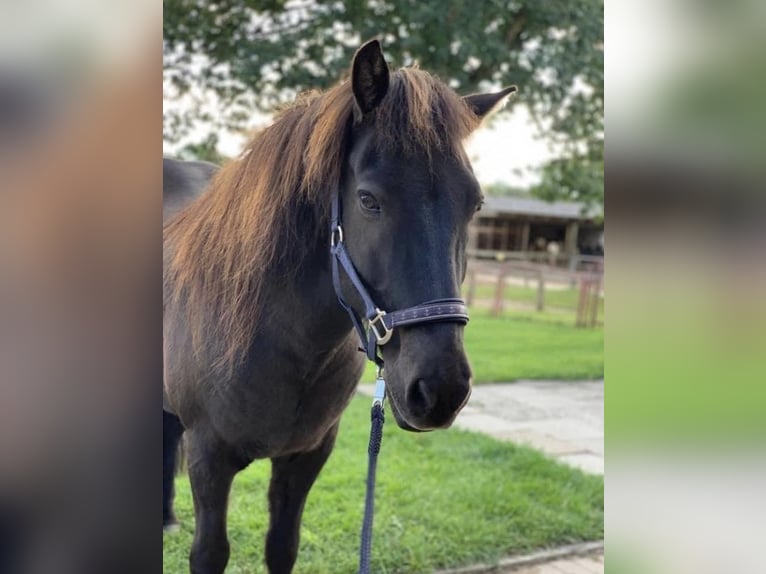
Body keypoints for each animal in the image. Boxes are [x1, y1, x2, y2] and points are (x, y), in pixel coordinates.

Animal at [165, 38, 520, 572]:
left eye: (474, 204)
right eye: (369, 200)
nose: (440, 390)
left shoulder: (307, 457)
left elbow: (282, 547)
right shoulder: (209, 458)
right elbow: (209, 553)